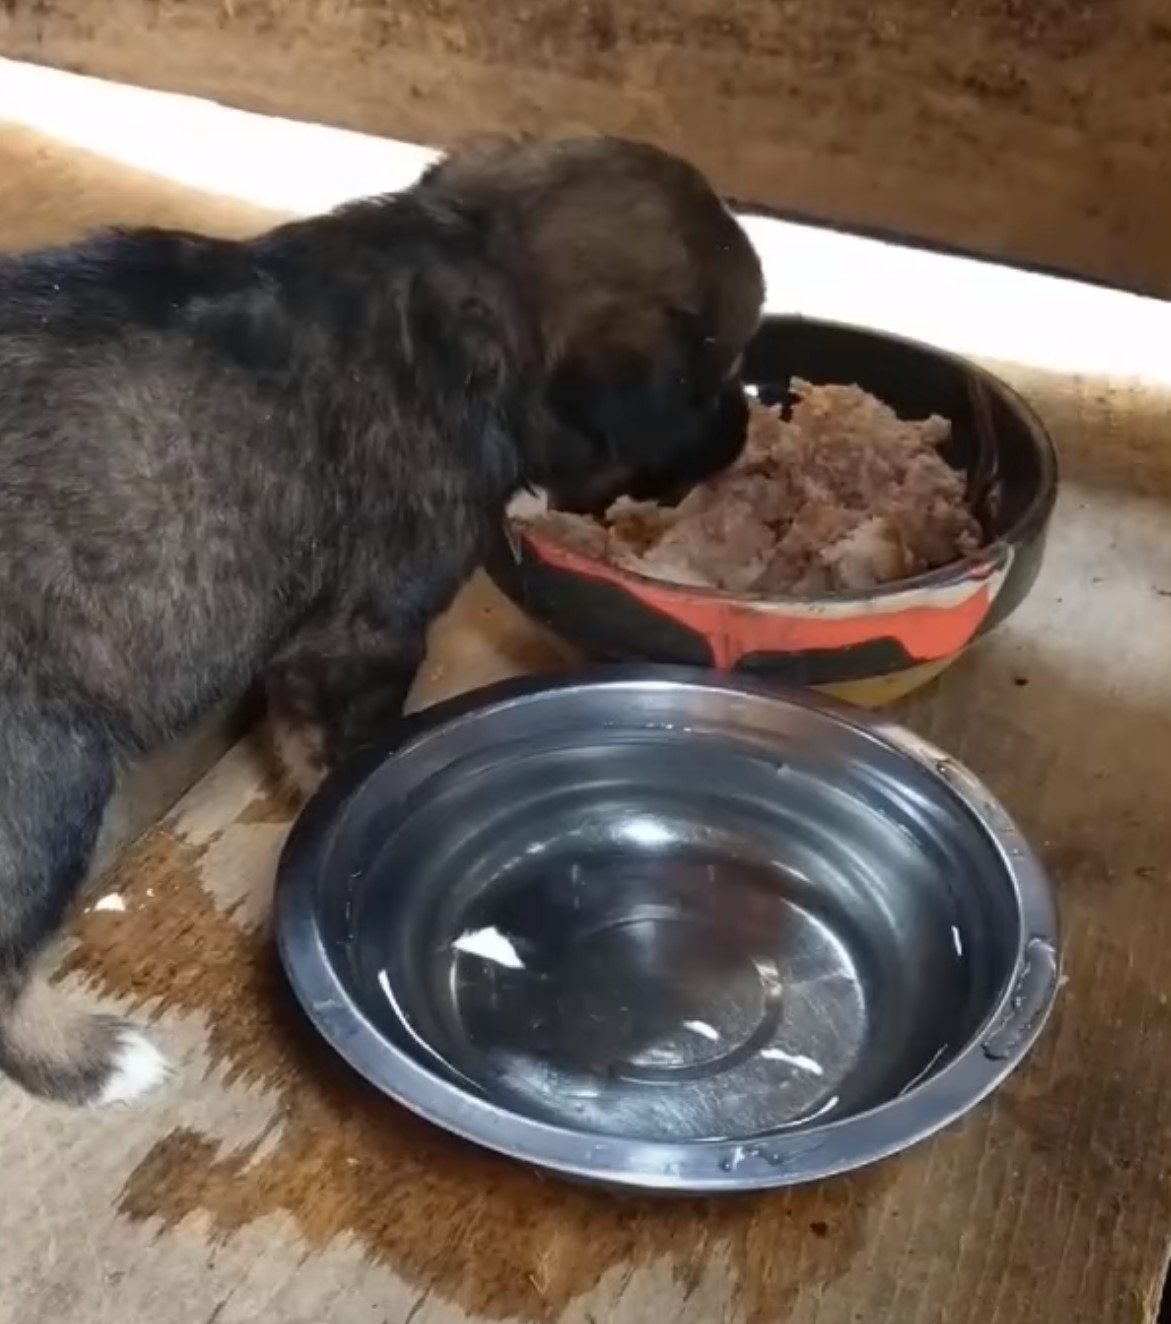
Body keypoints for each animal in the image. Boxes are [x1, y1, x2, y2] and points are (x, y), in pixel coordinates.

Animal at [0, 137, 768, 1106]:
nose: (743, 430)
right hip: (44, 772)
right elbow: (351, 749)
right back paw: (88, 1059)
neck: (469, 269)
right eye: (715, 366)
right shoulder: (366, 631)